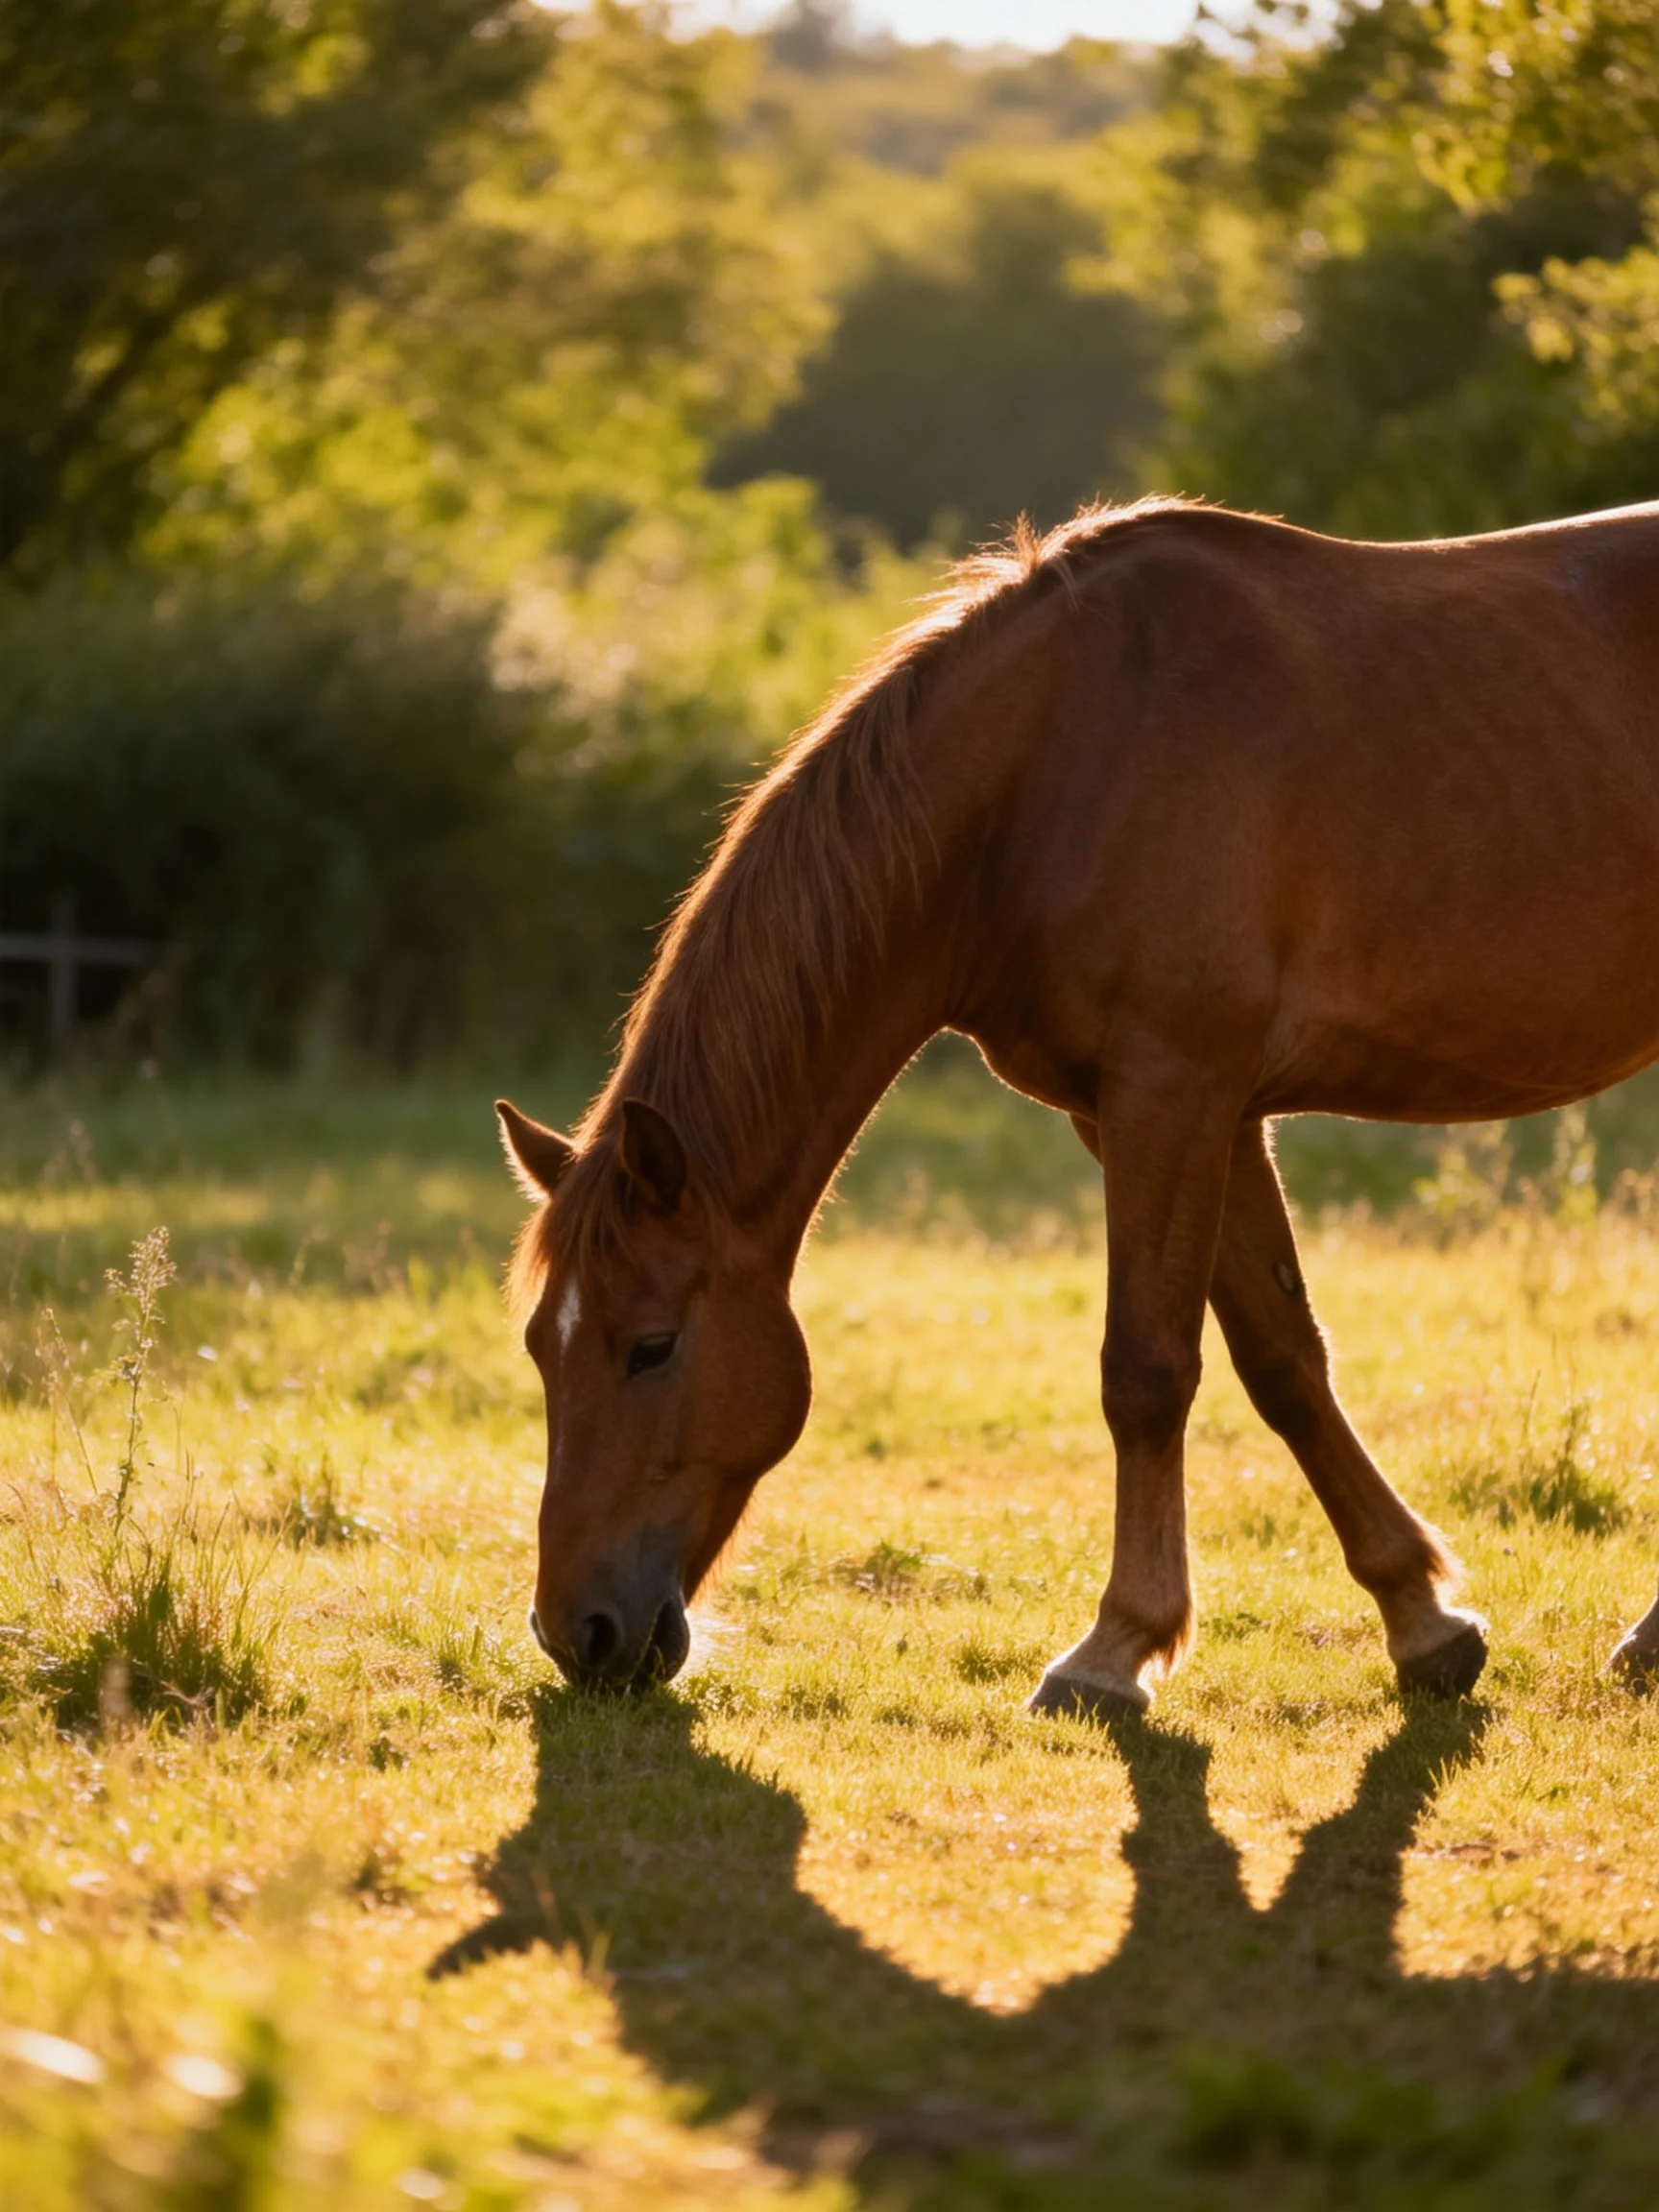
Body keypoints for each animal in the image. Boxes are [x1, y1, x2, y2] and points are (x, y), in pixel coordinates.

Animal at [498, 495, 1659, 1720]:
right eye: (539, 1347)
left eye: (652, 1346)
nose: (580, 1633)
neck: (1052, 766)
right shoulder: (1175, 1113)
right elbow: (1283, 1361)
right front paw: (1422, 1622)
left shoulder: (1173, 1090)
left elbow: (1145, 1371)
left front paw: (1113, 1650)